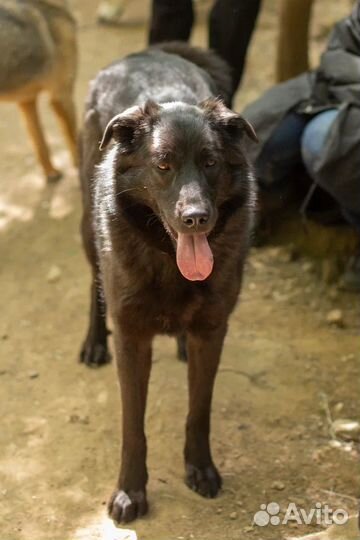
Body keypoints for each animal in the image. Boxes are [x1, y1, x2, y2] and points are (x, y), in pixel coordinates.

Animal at [80, 42, 258, 524]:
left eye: (211, 163)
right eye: (163, 165)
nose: (196, 218)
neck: (168, 262)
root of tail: (146, 52)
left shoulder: (213, 331)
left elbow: (199, 411)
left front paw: (200, 468)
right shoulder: (131, 337)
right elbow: (132, 424)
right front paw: (130, 491)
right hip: (87, 232)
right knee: (93, 283)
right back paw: (93, 343)